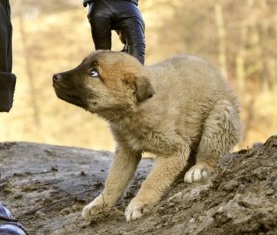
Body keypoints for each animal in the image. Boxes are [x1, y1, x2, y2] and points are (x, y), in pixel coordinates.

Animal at [52, 50, 240, 222]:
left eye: (93, 73)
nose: (55, 76)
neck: (132, 111)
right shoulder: (125, 151)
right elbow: (114, 181)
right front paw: (100, 203)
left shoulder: (174, 149)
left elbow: (151, 181)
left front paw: (139, 204)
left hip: (220, 114)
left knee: (210, 153)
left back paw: (199, 169)